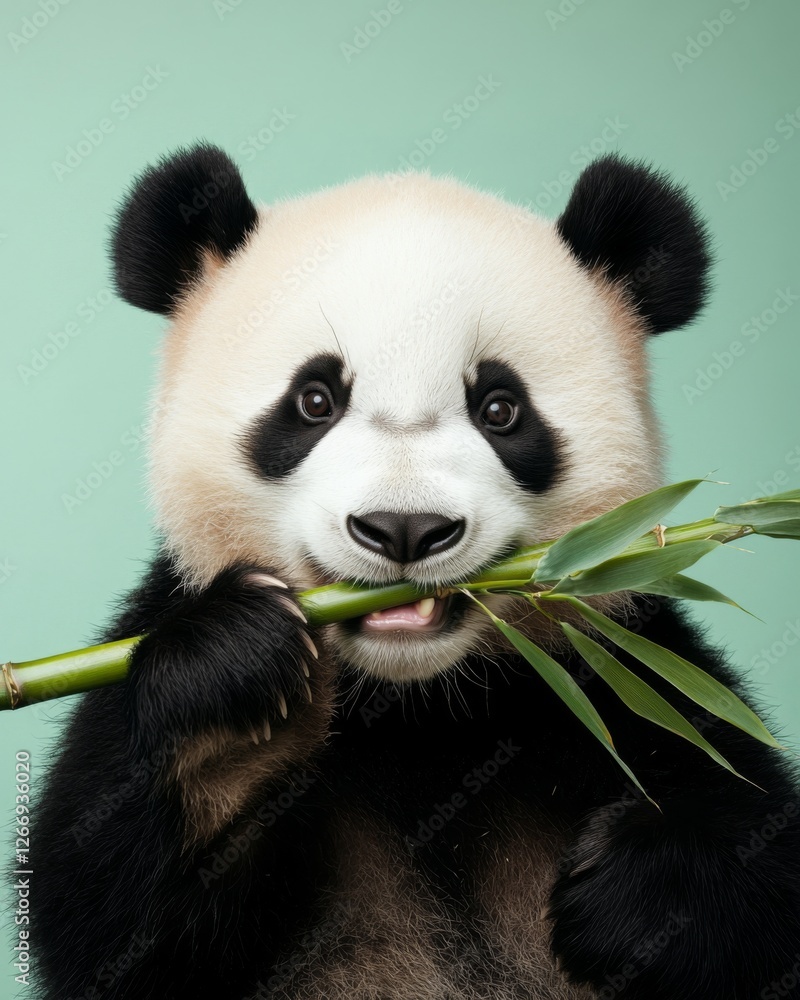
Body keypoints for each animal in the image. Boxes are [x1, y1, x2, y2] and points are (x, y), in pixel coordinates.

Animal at [31, 143, 800, 1000]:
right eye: (314, 400)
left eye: (500, 408)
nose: (405, 528)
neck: (418, 705)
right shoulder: (160, 621)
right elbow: (105, 912)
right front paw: (229, 699)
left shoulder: (619, 661)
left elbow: (754, 837)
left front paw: (633, 890)